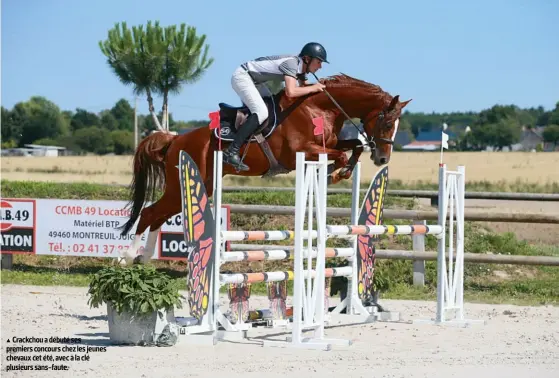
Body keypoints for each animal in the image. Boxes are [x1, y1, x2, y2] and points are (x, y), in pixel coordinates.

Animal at [118, 73, 410, 262]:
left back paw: (144, 257)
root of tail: (175, 139)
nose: (382, 159)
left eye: (396, 126)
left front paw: (343, 171)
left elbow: (355, 146)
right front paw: (334, 173)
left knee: (158, 215)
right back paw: (127, 257)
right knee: (149, 213)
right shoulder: (302, 152)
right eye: (387, 123)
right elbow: (339, 154)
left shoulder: (330, 142)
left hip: (198, 186)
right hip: (185, 183)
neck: (320, 106)